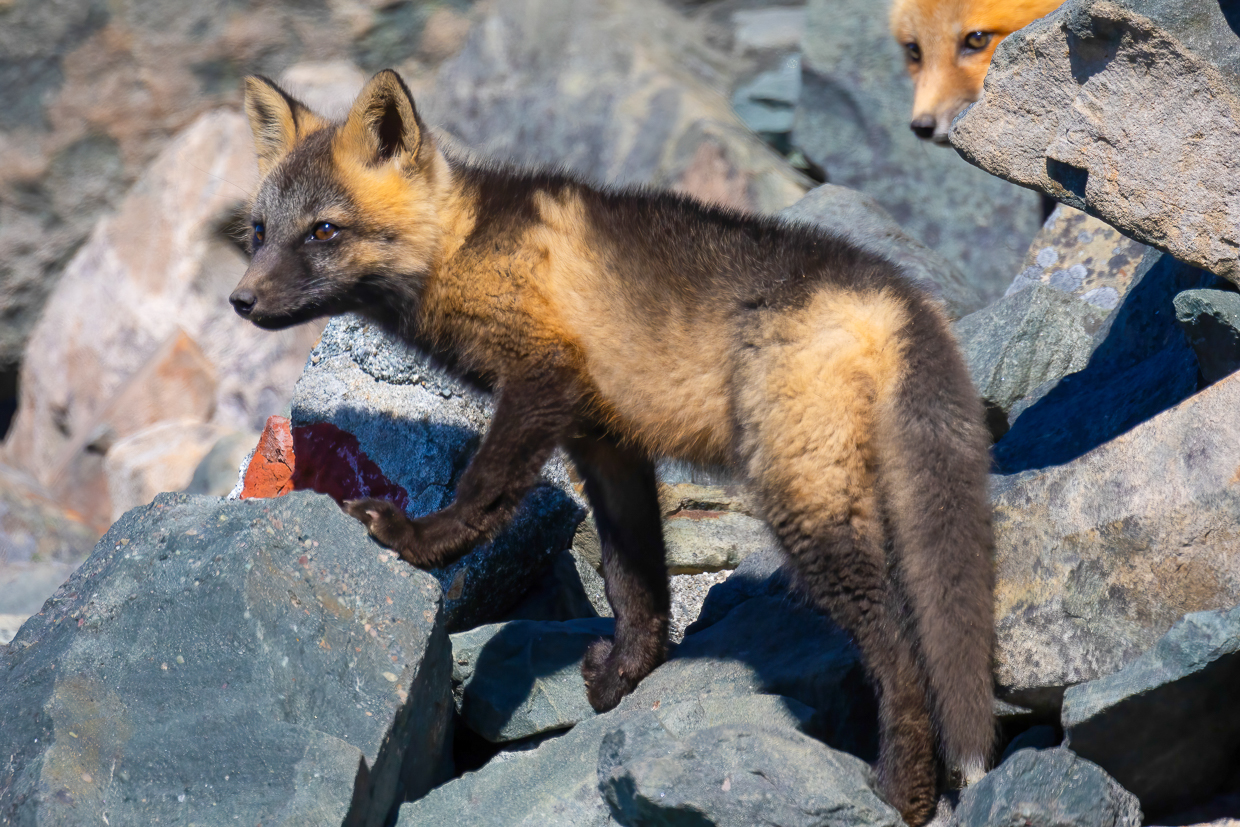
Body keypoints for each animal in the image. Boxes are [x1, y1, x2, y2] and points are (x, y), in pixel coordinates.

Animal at [229, 70, 996, 825]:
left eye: (325, 230)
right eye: (260, 232)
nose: (240, 301)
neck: (466, 248)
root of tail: (896, 293)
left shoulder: (541, 378)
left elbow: (485, 493)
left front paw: (423, 542)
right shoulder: (605, 441)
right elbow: (634, 578)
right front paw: (628, 673)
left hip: (803, 502)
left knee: (900, 649)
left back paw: (905, 791)